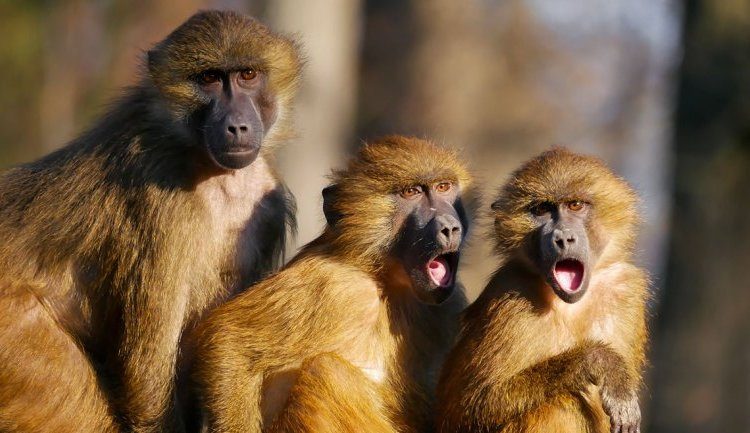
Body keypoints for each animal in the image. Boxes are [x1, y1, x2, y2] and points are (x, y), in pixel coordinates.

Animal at [0, 11, 301, 433]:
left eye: (248, 75)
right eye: (209, 78)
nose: (237, 126)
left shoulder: (268, 206)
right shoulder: (162, 197)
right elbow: (148, 377)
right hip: (17, 339)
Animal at [191, 135, 474, 433]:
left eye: (443, 187)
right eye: (411, 192)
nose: (449, 228)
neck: (384, 281)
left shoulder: (448, 303)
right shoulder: (336, 285)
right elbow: (228, 339)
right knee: (326, 371)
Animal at [436, 148, 648, 433]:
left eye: (575, 205)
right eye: (542, 210)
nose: (562, 238)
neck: (571, 304)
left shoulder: (625, 288)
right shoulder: (510, 295)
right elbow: (470, 405)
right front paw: (601, 363)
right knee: (561, 401)